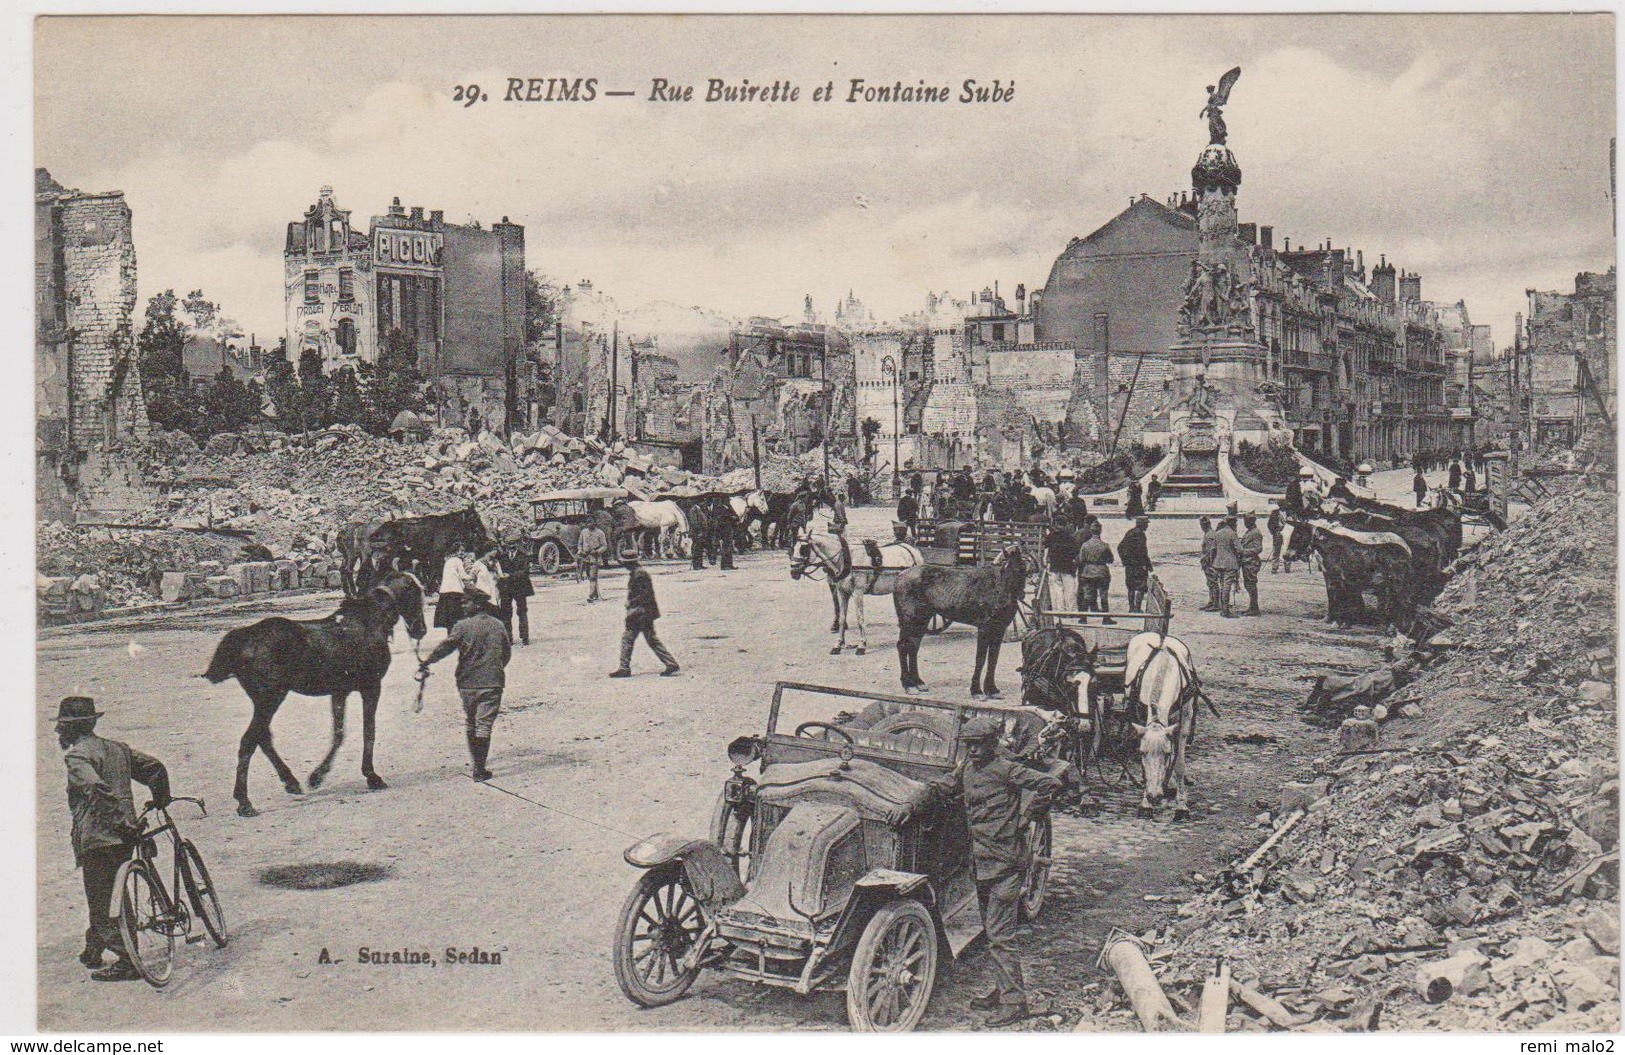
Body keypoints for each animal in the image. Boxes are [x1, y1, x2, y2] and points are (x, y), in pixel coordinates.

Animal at [201, 568, 425, 816]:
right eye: (418, 594)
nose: (421, 630)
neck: (368, 622)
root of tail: (246, 637)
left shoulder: (340, 691)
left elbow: (339, 733)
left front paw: (317, 777)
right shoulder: (371, 687)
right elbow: (369, 731)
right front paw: (372, 777)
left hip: (264, 701)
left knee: (263, 738)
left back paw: (290, 782)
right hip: (270, 699)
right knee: (249, 741)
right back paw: (245, 802)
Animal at [789, 529, 923, 653]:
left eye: (803, 549)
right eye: (792, 549)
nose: (793, 573)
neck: (846, 559)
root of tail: (913, 550)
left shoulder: (857, 593)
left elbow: (860, 618)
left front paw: (862, 645)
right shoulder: (843, 592)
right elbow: (842, 618)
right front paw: (838, 644)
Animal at [890, 542, 1027, 698]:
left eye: (1024, 569)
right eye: (1006, 568)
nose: (1019, 596)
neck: (997, 587)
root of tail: (900, 576)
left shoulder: (999, 629)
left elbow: (993, 658)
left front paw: (992, 690)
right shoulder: (984, 628)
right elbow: (981, 658)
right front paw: (977, 691)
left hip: (922, 620)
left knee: (913, 647)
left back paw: (918, 683)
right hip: (910, 620)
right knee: (903, 646)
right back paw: (908, 685)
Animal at [1124, 630, 1202, 819]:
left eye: (1166, 754)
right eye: (1142, 752)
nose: (1153, 796)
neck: (1163, 669)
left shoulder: (1184, 719)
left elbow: (1179, 762)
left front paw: (1181, 804)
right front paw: (1145, 803)